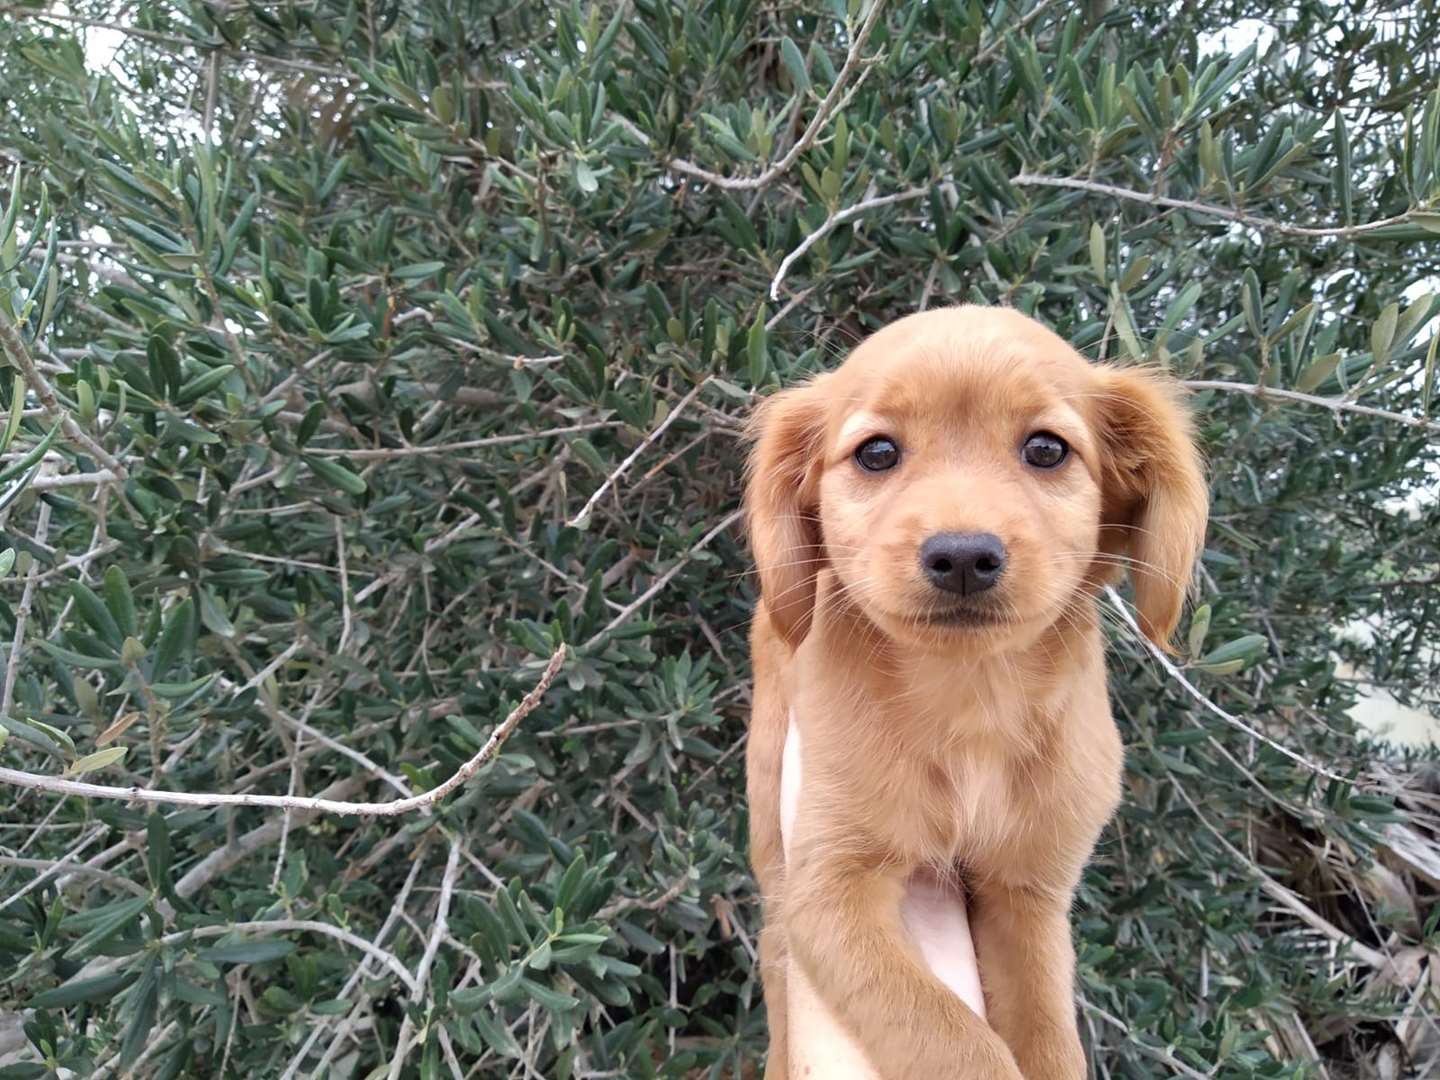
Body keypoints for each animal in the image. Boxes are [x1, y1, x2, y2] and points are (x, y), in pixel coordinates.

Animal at [743, 306, 1203, 1080]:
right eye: (876, 453)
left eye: (1046, 449)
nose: (961, 556)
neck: (971, 697)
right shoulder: (829, 888)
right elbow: (954, 1040)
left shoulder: (1029, 896)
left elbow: (1050, 1045)